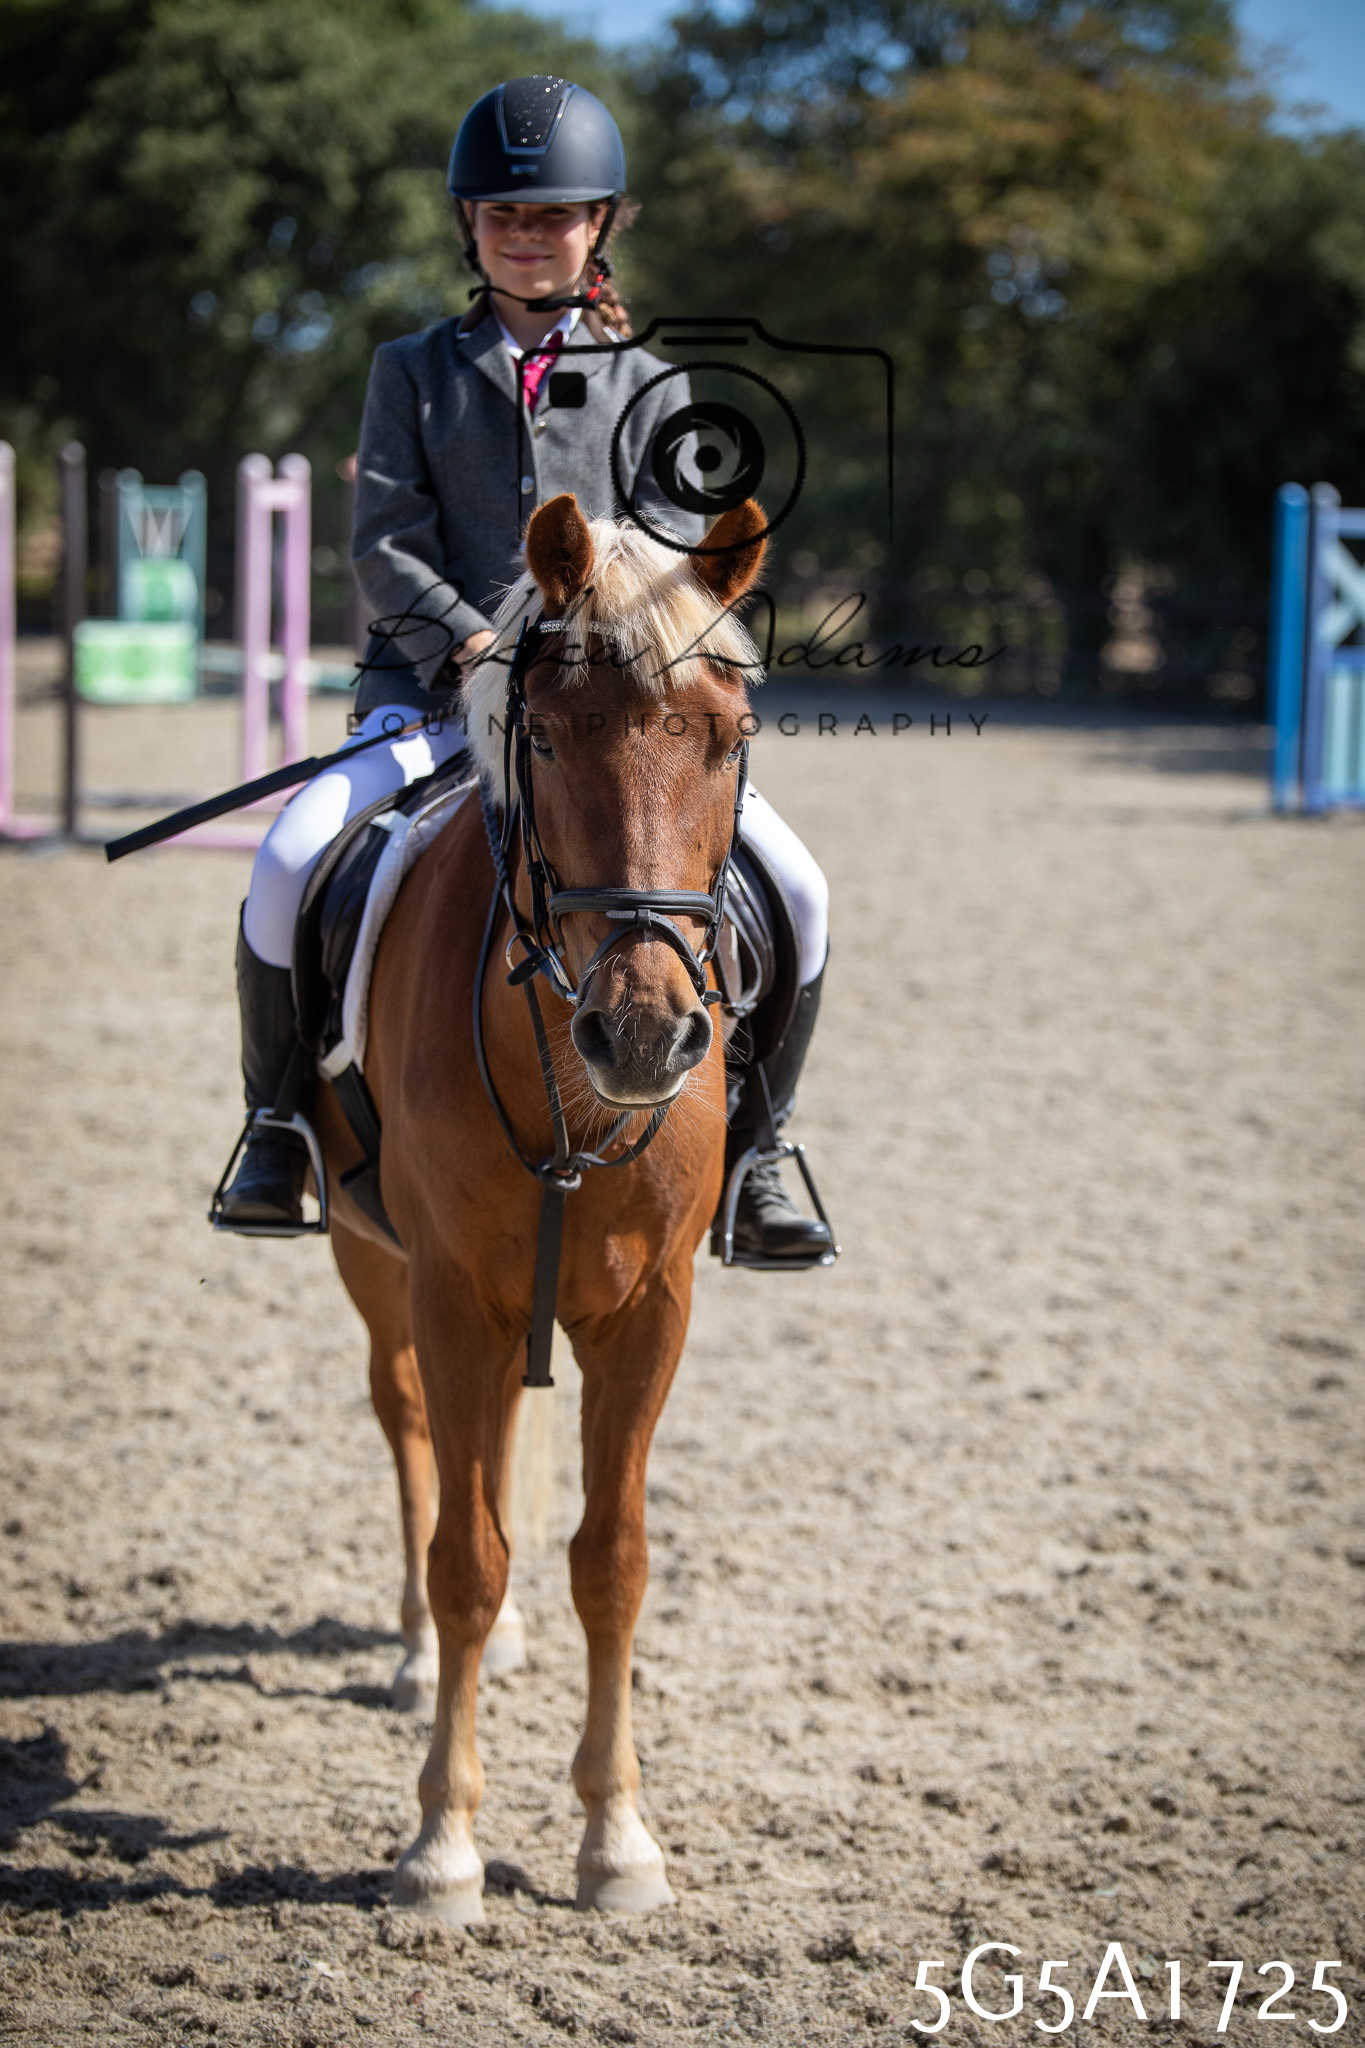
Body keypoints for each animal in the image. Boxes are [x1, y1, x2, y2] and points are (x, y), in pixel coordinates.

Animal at [313, 491, 770, 1922]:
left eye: (729, 739)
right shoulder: (451, 1289)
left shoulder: (648, 1311)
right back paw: (416, 1654)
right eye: (553, 736)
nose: (645, 1034)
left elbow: (609, 1561)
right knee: (413, 1426)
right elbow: (465, 1556)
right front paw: (440, 1845)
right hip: (377, 1264)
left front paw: (618, 1837)